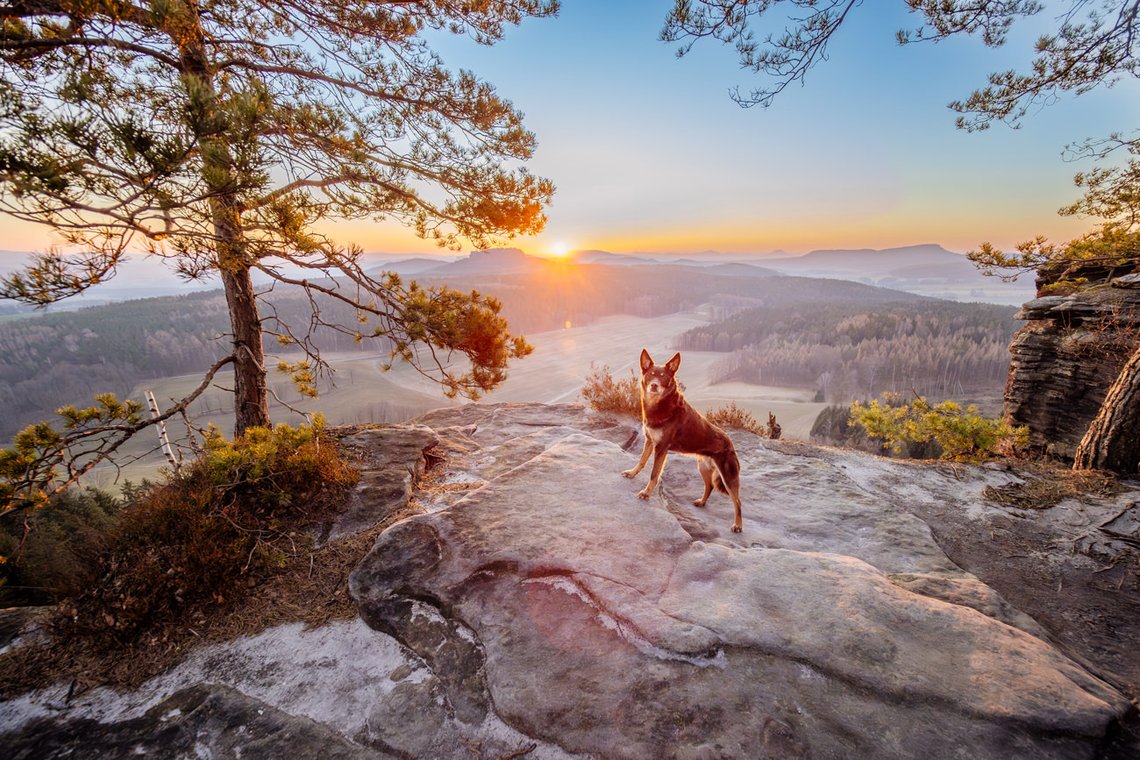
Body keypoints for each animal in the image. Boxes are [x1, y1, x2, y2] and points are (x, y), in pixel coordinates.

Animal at [620, 348, 743, 533]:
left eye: (663, 376)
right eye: (651, 374)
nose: (654, 385)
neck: (660, 405)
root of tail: (730, 442)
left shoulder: (661, 448)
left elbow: (654, 474)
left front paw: (646, 493)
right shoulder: (649, 441)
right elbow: (641, 462)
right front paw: (632, 473)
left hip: (728, 477)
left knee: (737, 501)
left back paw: (737, 525)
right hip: (703, 467)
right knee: (709, 486)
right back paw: (702, 502)